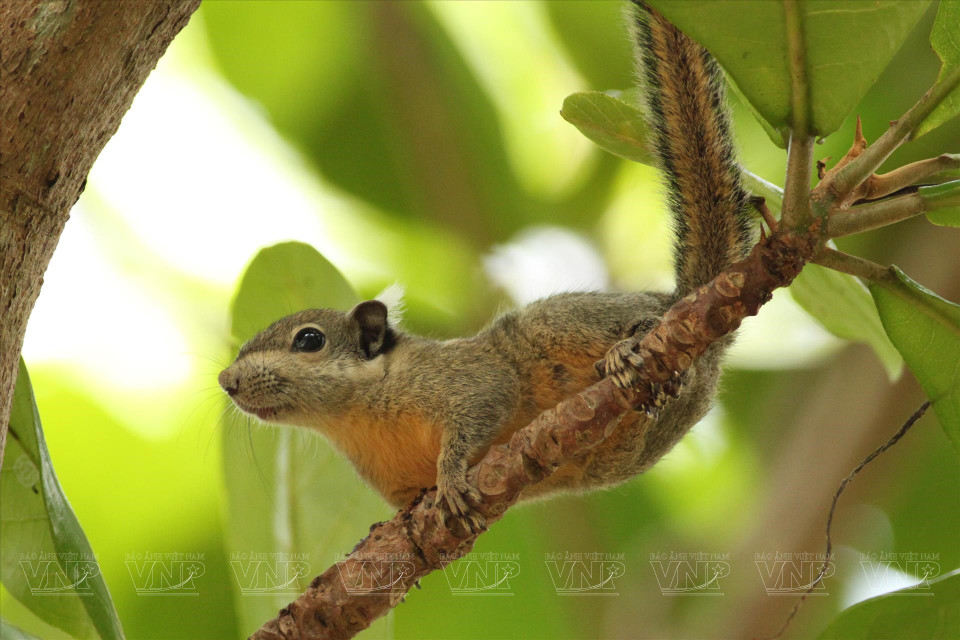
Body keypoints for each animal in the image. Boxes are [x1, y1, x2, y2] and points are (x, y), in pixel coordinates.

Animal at [218, 2, 753, 533]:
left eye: (309, 340)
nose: (226, 381)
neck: (355, 418)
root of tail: (691, 300)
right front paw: (398, 529)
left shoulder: (464, 379)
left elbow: (482, 408)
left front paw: (452, 476)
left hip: (564, 322)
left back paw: (631, 344)